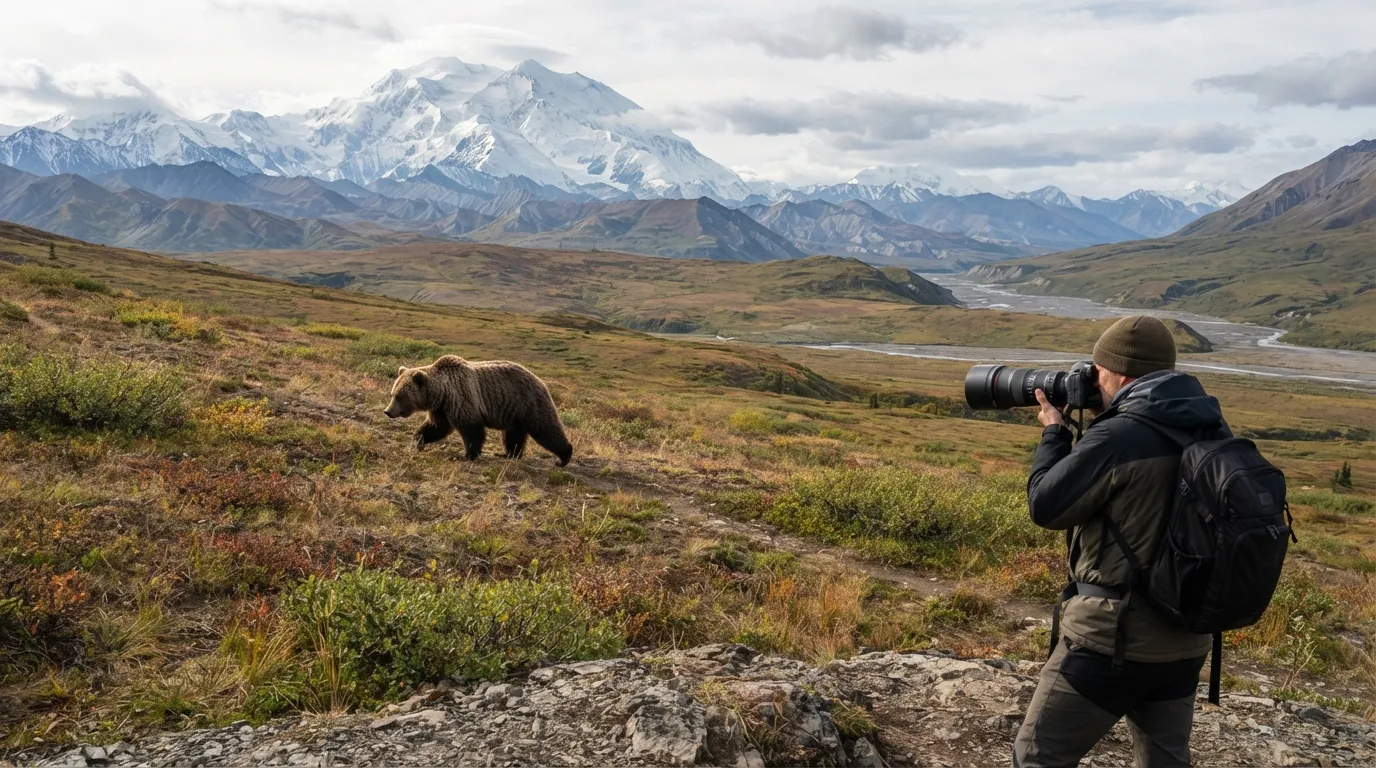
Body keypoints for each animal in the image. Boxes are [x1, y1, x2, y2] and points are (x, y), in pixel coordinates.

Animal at [383, 355, 573, 466]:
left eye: (399, 396)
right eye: (392, 393)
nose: (388, 411)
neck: (441, 393)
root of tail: (539, 380)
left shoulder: (462, 398)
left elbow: (471, 430)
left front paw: (468, 455)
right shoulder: (441, 409)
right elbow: (437, 427)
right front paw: (418, 441)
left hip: (528, 403)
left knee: (546, 429)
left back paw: (564, 457)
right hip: (514, 413)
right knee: (514, 434)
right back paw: (509, 454)